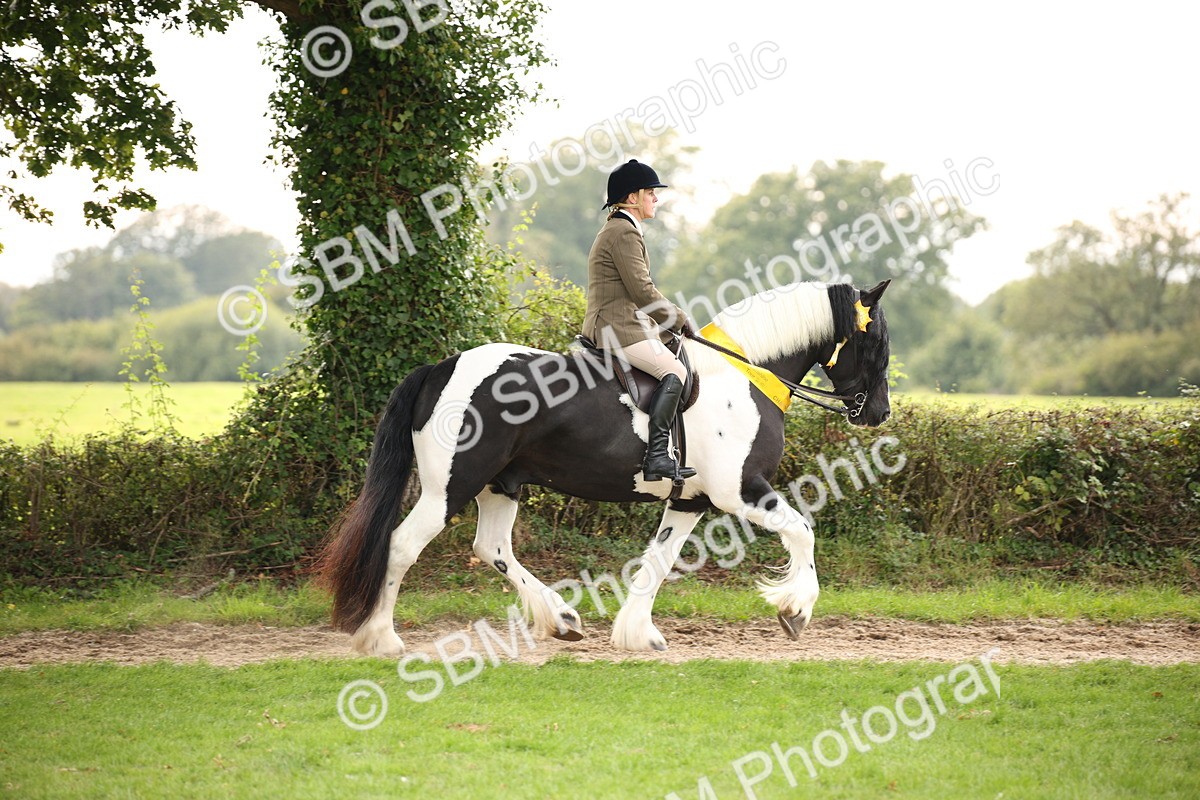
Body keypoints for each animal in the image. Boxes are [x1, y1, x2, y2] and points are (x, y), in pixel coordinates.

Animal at [318, 279, 892, 655]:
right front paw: (796, 610)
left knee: (491, 548)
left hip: (500, 484)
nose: (879, 413)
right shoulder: (743, 491)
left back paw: (561, 619)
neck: (745, 376)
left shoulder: (691, 501)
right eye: (875, 341)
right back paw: (382, 639)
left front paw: (638, 634)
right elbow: (802, 531)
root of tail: (442, 367)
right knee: (401, 547)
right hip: (450, 487)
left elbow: (659, 561)